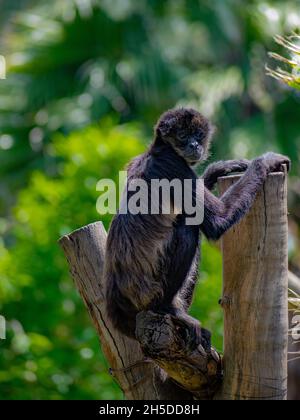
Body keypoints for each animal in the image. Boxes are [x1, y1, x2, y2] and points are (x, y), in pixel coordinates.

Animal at [105, 107, 290, 348]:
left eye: (198, 135)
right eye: (183, 135)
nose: (194, 145)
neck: (159, 150)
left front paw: (218, 168)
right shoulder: (173, 166)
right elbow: (217, 221)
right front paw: (264, 161)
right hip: (150, 290)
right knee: (188, 226)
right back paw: (169, 309)